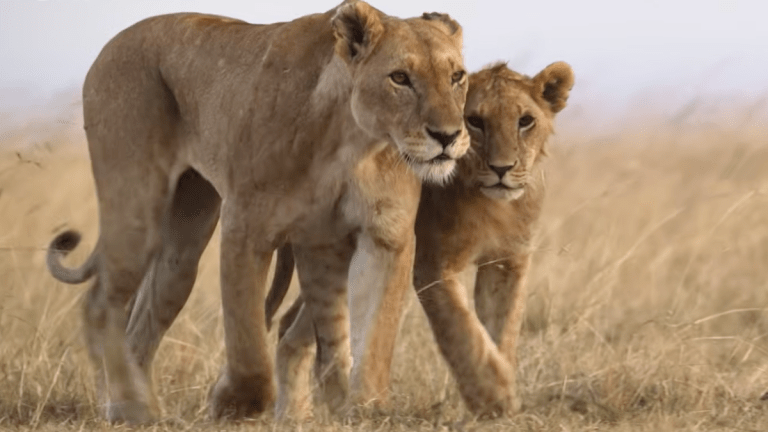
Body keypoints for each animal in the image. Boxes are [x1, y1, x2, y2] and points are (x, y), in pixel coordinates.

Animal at [45, 1, 469, 424]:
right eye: (400, 78)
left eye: (456, 77)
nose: (447, 136)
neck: (354, 143)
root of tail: (114, 43)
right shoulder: (246, 227)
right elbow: (248, 341)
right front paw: (235, 403)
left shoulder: (381, 236)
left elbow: (375, 335)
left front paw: (365, 408)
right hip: (135, 207)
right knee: (101, 305)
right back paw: (128, 407)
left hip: (180, 252)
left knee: (142, 327)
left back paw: (142, 409)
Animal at [265, 62, 574, 418]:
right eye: (475, 121)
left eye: (525, 121)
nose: (502, 168)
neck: (492, 205)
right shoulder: (432, 265)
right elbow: (460, 330)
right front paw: (495, 396)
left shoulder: (507, 262)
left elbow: (501, 332)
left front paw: (502, 390)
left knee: (292, 325)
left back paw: (294, 414)